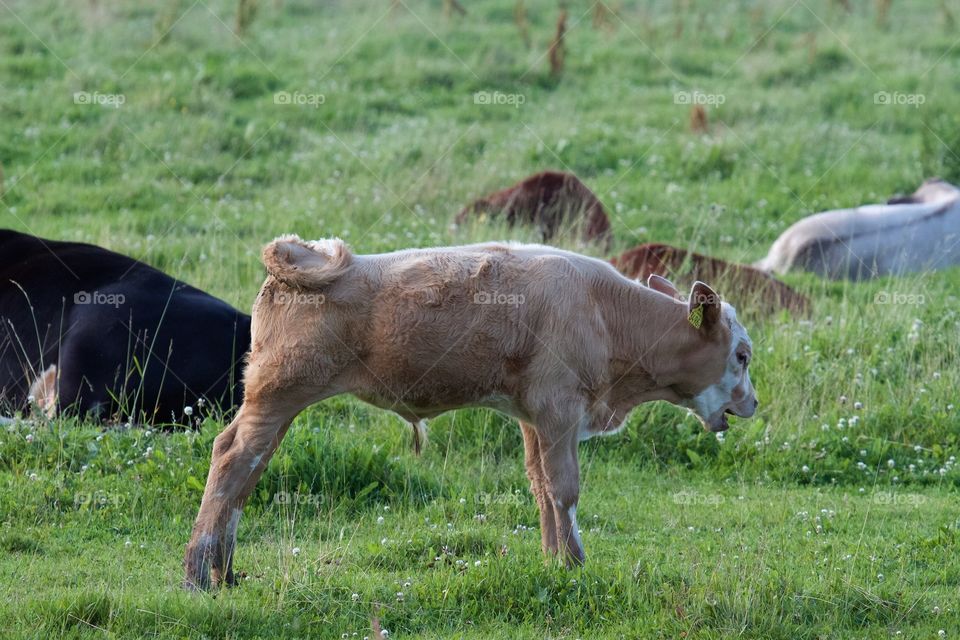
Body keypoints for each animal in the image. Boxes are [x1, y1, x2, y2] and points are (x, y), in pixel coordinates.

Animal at [182, 236, 756, 592]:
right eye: (742, 355)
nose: (751, 403)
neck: (603, 310)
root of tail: (307, 259)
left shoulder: (533, 417)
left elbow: (541, 487)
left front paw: (553, 563)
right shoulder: (560, 412)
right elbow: (565, 490)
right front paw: (575, 565)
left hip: (279, 406)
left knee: (246, 471)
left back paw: (224, 573)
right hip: (277, 395)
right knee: (232, 459)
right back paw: (197, 575)